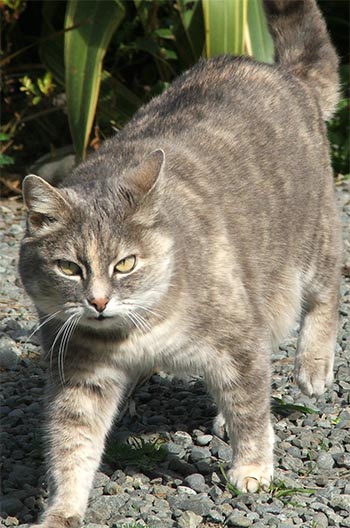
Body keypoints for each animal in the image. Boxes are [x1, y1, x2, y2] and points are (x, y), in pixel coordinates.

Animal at [19, 2, 342, 524]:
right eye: (70, 268)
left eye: (126, 263)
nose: (98, 302)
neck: (135, 335)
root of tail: (280, 71)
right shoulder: (81, 376)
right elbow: (72, 444)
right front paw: (63, 508)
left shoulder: (236, 338)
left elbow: (250, 409)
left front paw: (252, 469)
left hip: (312, 241)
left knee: (325, 293)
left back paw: (311, 367)